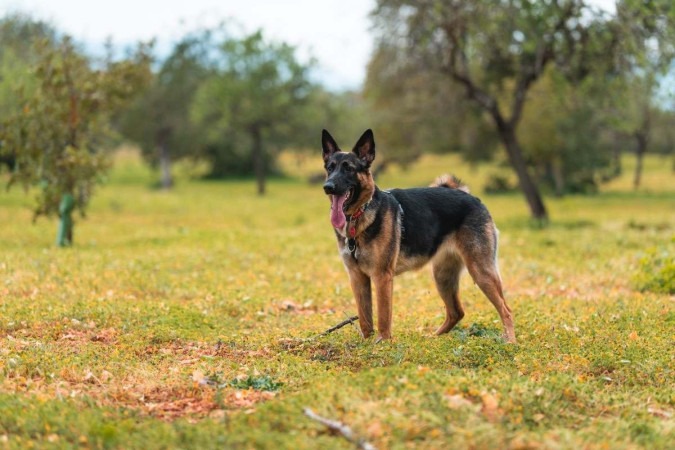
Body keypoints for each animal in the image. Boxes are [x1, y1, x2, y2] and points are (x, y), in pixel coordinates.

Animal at [322, 130, 516, 344]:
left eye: (348, 169)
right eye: (329, 168)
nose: (328, 186)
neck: (360, 215)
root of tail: (473, 198)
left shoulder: (382, 276)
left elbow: (383, 317)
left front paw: (382, 343)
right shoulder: (357, 278)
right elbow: (365, 319)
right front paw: (366, 344)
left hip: (481, 271)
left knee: (506, 310)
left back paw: (510, 342)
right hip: (442, 276)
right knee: (456, 312)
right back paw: (434, 338)